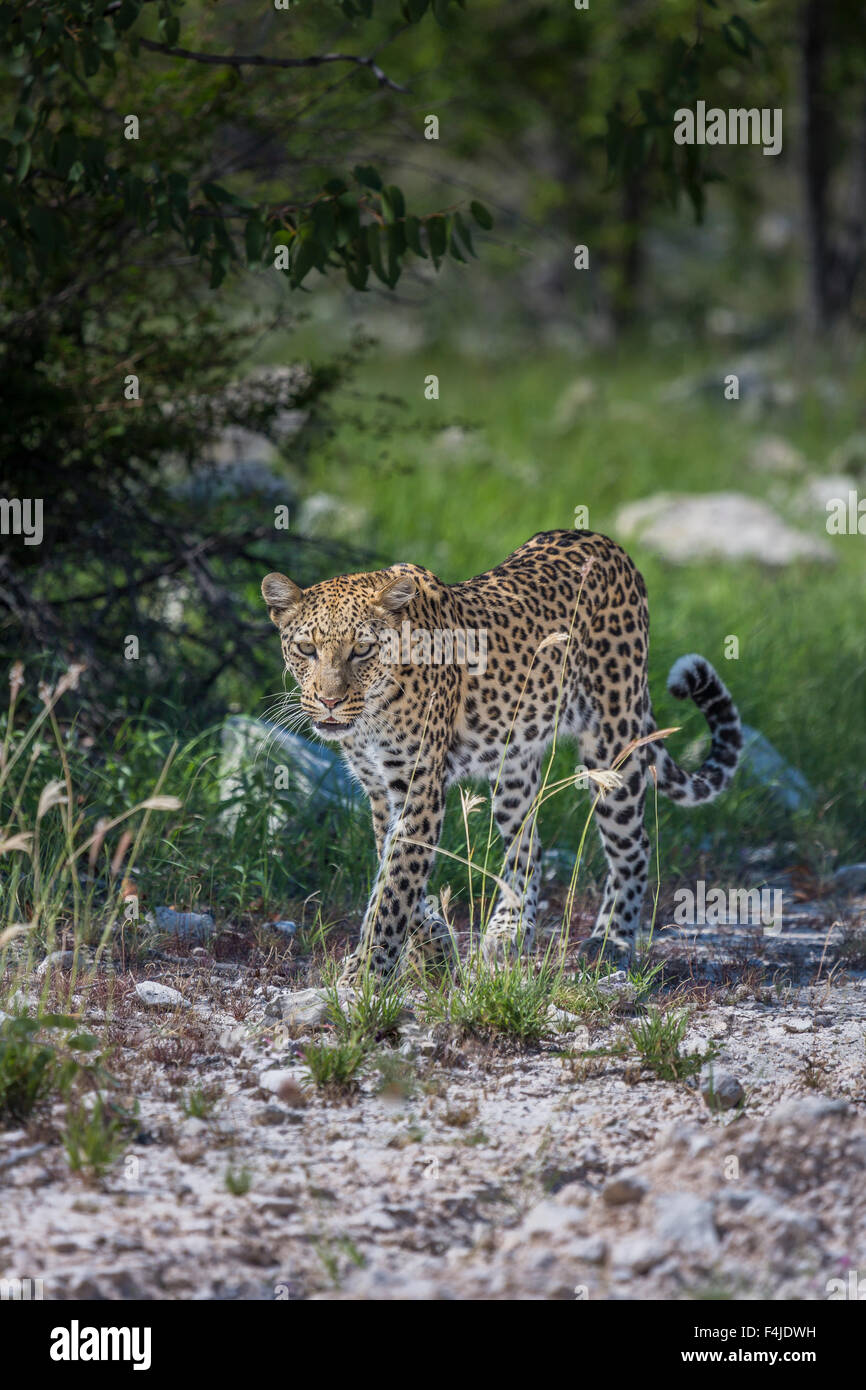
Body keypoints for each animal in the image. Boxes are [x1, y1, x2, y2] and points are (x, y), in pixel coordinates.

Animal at [261, 528, 739, 978]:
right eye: (306, 649)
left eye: (362, 649)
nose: (329, 701)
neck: (372, 717)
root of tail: (607, 543)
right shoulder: (381, 791)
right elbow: (395, 873)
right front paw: (434, 946)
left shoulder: (419, 787)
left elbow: (395, 887)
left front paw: (366, 974)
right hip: (514, 767)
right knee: (529, 845)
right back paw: (508, 931)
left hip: (613, 739)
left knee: (633, 845)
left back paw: (612, 941)